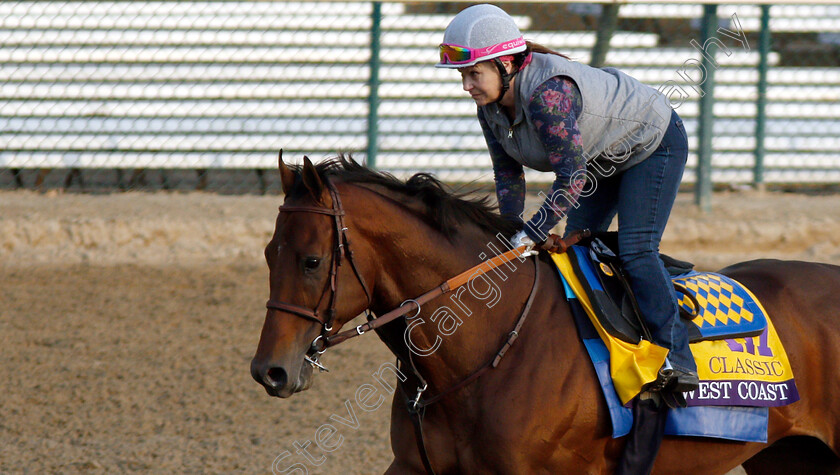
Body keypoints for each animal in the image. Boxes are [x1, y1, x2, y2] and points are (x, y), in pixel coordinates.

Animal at [253, 154, 840, 474]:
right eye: (268, 254)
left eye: (311, 260)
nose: (270, 371)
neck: (489, 345)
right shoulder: (415, 465)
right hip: (787, 456)